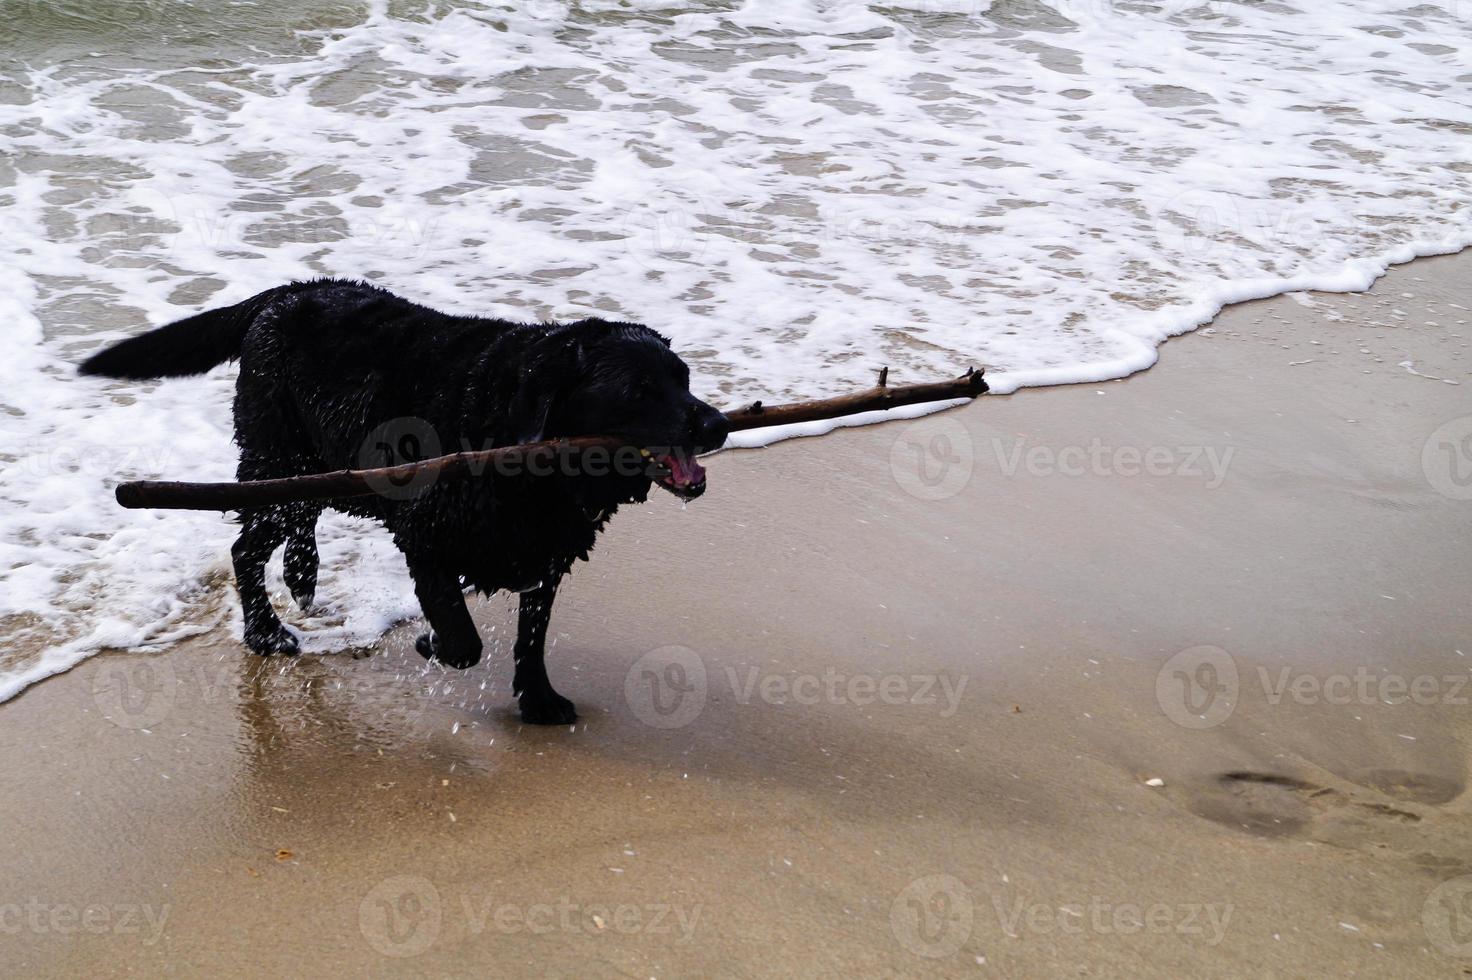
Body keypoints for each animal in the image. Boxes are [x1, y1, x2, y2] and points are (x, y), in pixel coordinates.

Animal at [83, 278, 727, 721]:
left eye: (684, 378)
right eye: (639, 390)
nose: (717, 424)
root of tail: (291, 290)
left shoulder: (544, 553)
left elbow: (532, 635)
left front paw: (539, 701)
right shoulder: (426, 537)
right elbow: (463, 639)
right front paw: (429, 641)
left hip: (321, 465)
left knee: (298, 523)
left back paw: (303, 575)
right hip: (279, 462)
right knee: (247, 547)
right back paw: (266, 633)